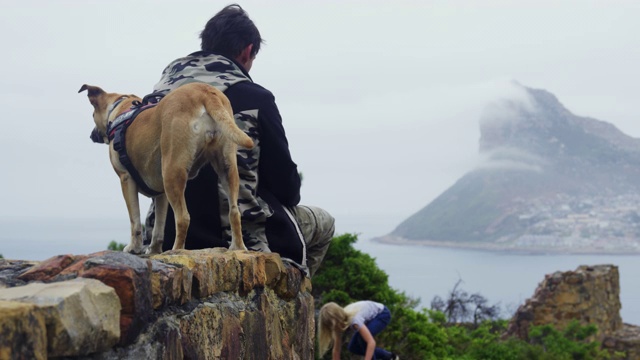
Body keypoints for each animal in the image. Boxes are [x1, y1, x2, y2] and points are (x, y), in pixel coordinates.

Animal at [78, 83, 252, 255]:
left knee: (183, 218)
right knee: (234, 211)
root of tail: (204, 91)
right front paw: (154, 250)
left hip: (172, 172)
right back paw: (238, 247)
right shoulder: (161, 193)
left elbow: (135, 221)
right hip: (227, 167)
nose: (91, 135)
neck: (122, 107)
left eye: (93, 114)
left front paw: (134, 248)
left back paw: (176, 250)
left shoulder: (126, 179)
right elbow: (158, 227)